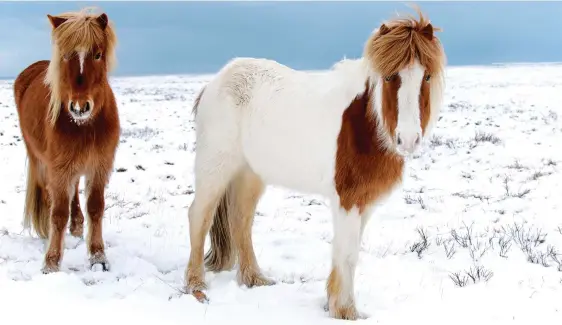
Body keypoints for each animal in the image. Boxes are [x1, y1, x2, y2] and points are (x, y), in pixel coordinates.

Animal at [12, 8, 119, 274]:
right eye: (65, 55)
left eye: (98, 54)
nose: (79, 107)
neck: (86, 126)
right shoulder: (58, 167)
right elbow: (58, 212)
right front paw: (51, 263)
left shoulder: (99, 165)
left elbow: (95, 207)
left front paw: (98, 257)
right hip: (39, 157)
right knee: (49, 194)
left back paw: (78, 225)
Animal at [185, 9, 446, 318]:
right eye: (390, 76)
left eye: (426, 76)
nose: (408, 139)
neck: (365, 123)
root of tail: (213, 84)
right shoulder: (347, 200)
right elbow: (347, 254)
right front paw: (345, 311)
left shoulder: (364, 203)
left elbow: (348, 252)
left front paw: (335, 304)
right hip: (215, 167)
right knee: (199, 216)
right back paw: (195, 285)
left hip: (251, 174)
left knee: (241, 221)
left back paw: (254, 279)